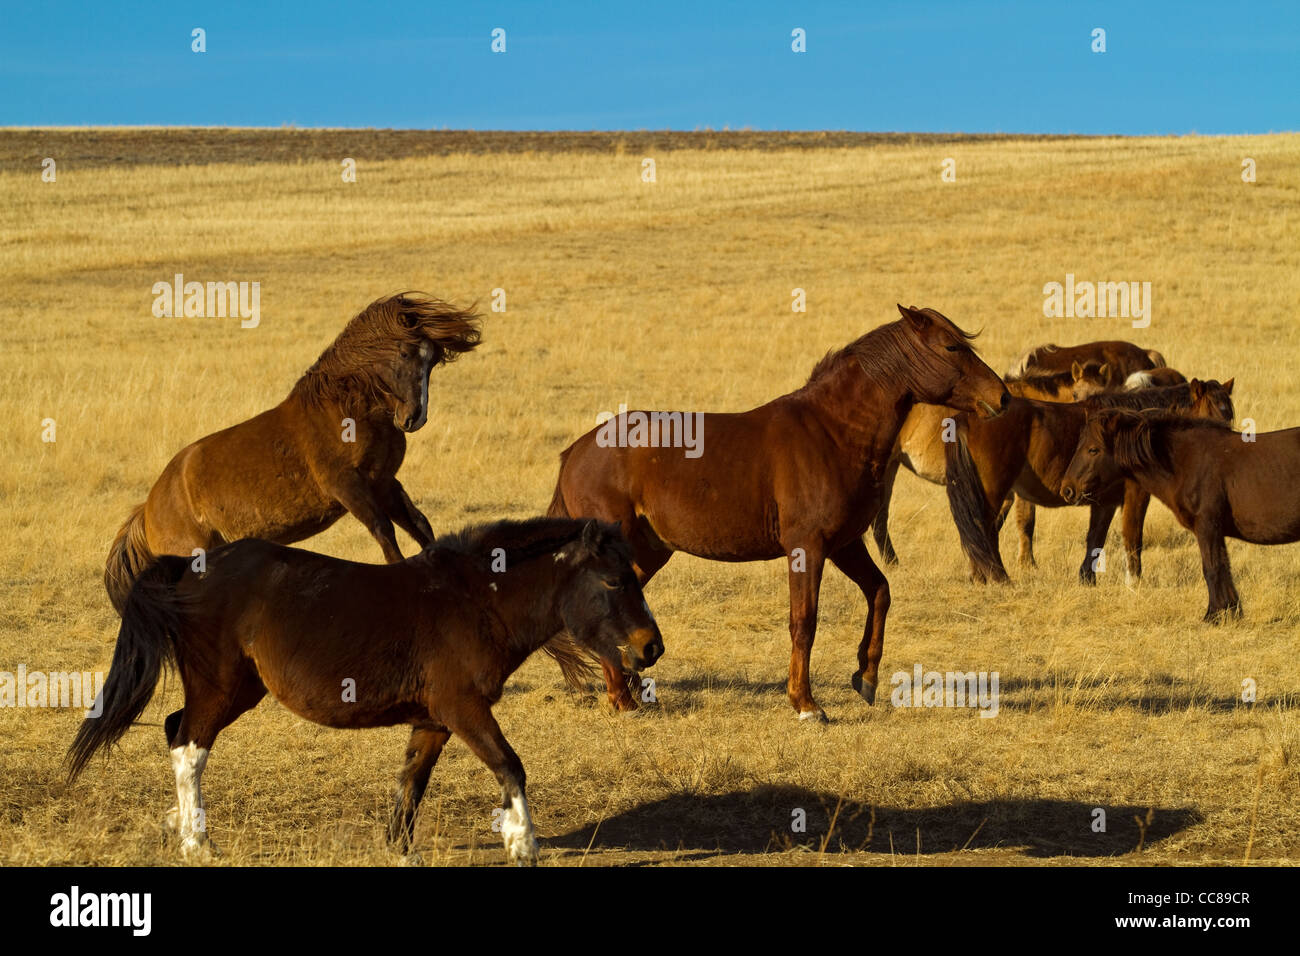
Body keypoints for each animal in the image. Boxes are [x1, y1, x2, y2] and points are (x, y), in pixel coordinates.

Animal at [69, 515, 660, 868]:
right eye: (614, 581)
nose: (651, 647)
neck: (476, 601)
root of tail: (189, 567)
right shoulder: (464, 708)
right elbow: (509, 764)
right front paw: (523, 842)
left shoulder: (434, 720)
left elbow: (411, 782)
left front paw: (400, 849)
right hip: (219, 686)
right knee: (189, 746)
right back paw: (198, 843)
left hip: (240, 690)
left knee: (176, 730)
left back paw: (181, 825)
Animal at [100, 291, 478, 616]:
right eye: (404, 353)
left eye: (433, 361)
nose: (414, 417)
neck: (347, 412)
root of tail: (147, 510)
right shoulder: (348, 487)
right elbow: (386, 534)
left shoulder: (384, 483)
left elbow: (419, 525)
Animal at [543, 304, 1008, 717]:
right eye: (951, 346)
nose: (1001, 396)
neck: (832, 432)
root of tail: (576, 451)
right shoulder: (807, 548)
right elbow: (804, 621)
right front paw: (805, 703)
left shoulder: (845, 544)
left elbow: (879, 592)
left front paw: (866, 676)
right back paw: (623, 699)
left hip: (651, 551)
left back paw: (630, 689)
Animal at [946, 377, 1227, 587]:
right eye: (1211, 416)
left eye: (1229, 416)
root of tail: (968, 417)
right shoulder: (1135, 495)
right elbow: (1132, 535)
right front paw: (1134, 581)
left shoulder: (1105, 502)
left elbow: (1096, 537)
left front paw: (1087, 579)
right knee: (981, 529)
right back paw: (995, 578)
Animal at [1060, 408, 1300, 621]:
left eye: (1093, 450)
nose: (1067, 489)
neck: (1187, 462)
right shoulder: (1214, 531)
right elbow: (1223, 567)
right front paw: (1230, 611)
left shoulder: (1207, 526)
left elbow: (1212, 568)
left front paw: (1214, 615)